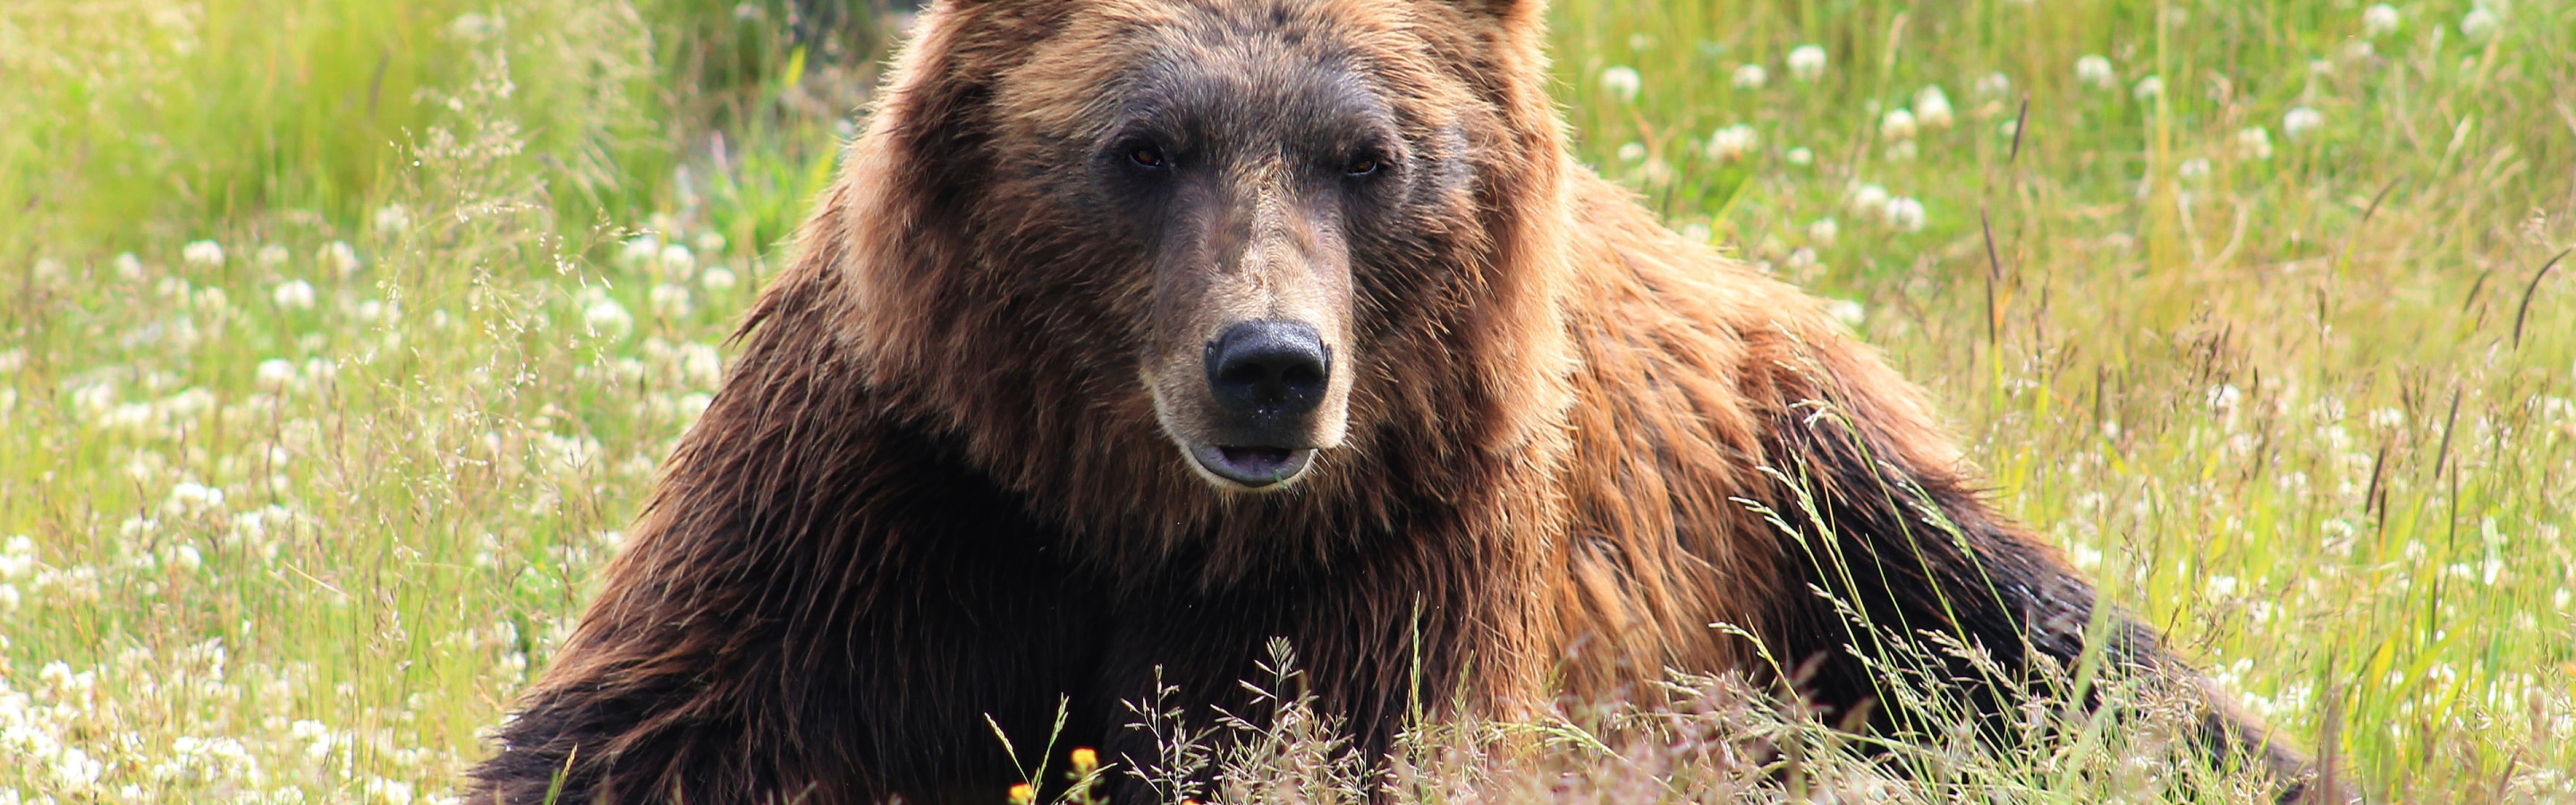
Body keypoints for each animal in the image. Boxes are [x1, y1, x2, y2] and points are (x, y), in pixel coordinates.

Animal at [473, 1, 2328, 805]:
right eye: (1143, 147)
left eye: (1366, 155)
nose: (1270, 366)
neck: (1135, 512)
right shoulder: (901, 484)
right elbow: (669, 725)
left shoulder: (1394, 546)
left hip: (1812, 496)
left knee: (2049, 649)